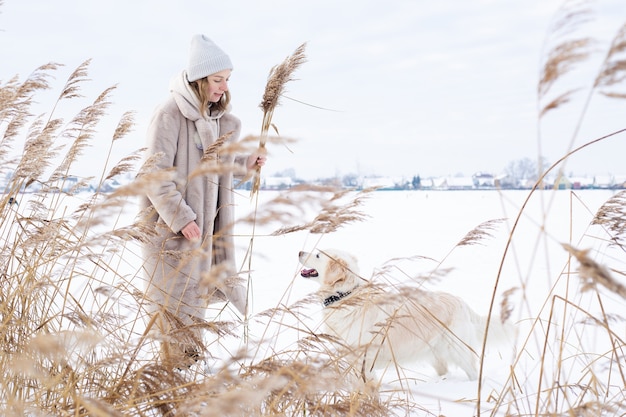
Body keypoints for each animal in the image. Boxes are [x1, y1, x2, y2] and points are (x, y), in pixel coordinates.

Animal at [298, 247, 512, 380]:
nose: (299, 252)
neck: (346, 295)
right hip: (435, 353)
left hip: (458, 350)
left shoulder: (364, 358)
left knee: (473, 370)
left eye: (318, 255)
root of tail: (461, 302)